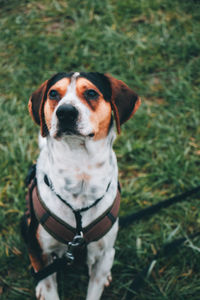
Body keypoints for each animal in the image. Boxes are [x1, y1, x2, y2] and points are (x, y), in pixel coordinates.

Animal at [21, 71, 141, 298]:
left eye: (91, 93)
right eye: (53, 94)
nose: (65, 112)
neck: (79, 168)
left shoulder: (104, 254)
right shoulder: (42, 252)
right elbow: (49, 286)